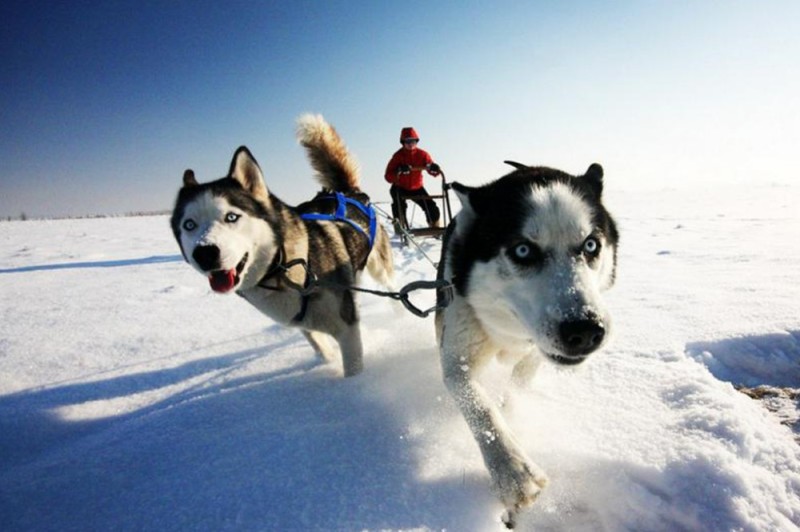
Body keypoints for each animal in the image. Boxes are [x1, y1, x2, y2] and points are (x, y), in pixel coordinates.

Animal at [171, 114, 394, 376]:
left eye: (231, 217)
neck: (286, 264)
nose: (204, 253)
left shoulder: (347, 326)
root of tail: (346, 193)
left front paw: (356, 385)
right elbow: (321, 347)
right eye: (189, 225)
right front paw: (327, 363)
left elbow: (353, 368)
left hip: (380, 270)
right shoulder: (304, 325)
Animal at [438, 162, 620, 528]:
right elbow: (479, 405)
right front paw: (512, 471)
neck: (510, 331)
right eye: (523, 250)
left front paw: (513, 418)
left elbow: (515, 391)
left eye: (591, 245)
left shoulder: (535, 355)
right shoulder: (457, 356)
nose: (585, 330)